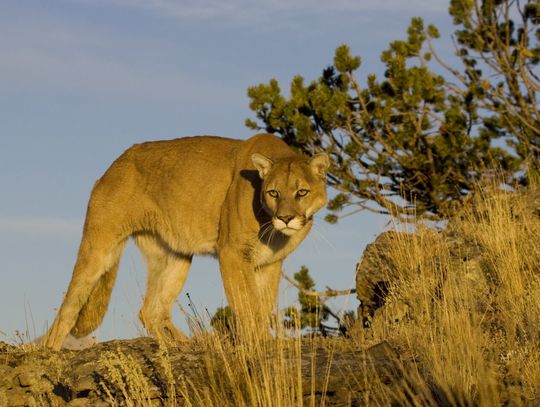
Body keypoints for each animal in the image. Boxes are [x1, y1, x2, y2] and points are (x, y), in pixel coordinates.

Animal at [45, 134, 330, 350]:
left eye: (301, 192)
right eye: (273, 192)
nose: (285, 218)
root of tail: (111, 168)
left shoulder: (270, 263)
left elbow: (262, 305)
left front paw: (264, 340)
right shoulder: (233, 254)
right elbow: (246, 303)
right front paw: (256, 343)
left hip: (175, 255)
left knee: (150, 310)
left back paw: (184, 343)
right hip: (99, 248)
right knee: (67, 310)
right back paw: (50, 354)